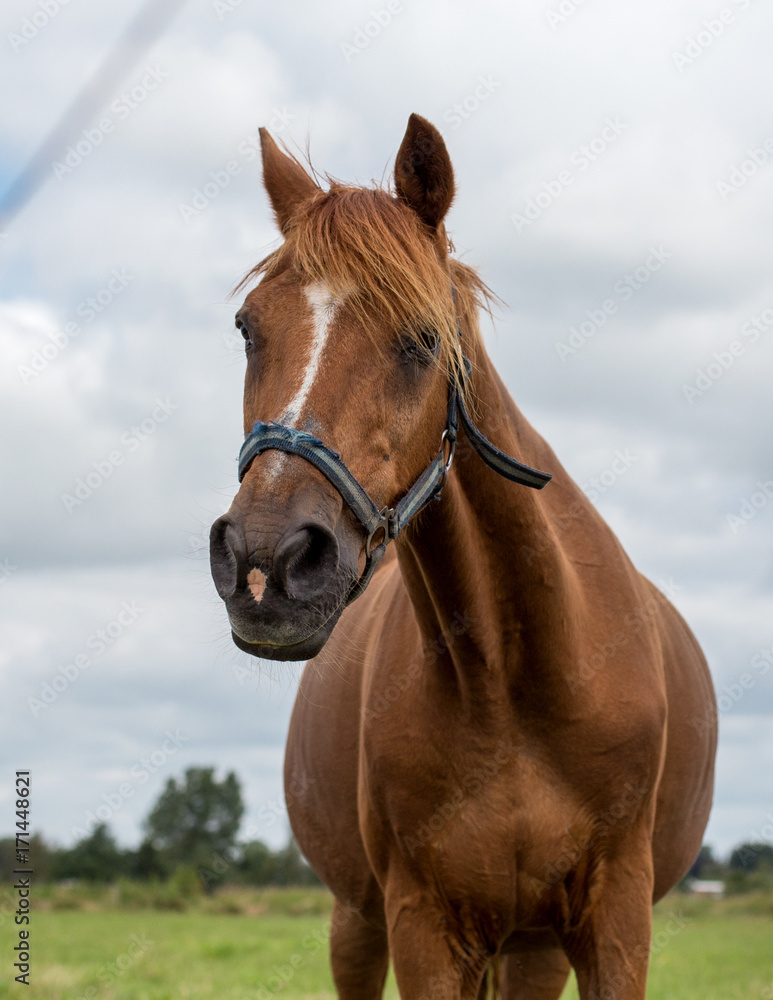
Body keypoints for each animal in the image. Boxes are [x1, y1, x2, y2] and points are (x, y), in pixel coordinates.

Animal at [209, 114, 717, 1000]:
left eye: (420, 338)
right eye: (248, 329)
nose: (263, 562)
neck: (515, 681)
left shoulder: (614, 922)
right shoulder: (423, 923)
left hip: (531, 946)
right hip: (361, 921)